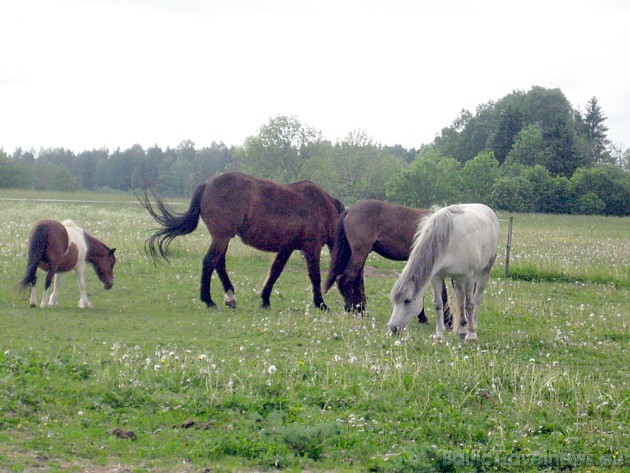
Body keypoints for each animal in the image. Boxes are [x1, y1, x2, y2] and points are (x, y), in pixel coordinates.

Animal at [136, 171, 348, 310]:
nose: (353, 309)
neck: (322, 205)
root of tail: (208, 184)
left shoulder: (286, 248)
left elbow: (275, 272)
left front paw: (265, 300)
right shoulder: (311, 248)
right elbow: (315, 276)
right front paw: (321, 304)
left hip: (223, 238)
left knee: (218, 263)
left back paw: (229, 298)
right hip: (221, 237)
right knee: (210, 262)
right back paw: (208, 300)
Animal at [324, 199, 452, 324]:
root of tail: (349, 210)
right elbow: (441, 292)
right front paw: (445, 320)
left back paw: (359, 309)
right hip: (360, 253)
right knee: (347, 278)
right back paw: (354, 310)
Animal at [388, 203, 502, 340]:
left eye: (407, 300)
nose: (393, 328)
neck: (448, 242)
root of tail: (488, 210)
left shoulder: (469, 277)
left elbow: (470, 305)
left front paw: (471, 335)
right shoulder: (436, 276)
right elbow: (438, 304)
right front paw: (439, 336)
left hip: (484, 271)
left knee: (476, 299)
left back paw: (472, 329)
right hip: (457, 278)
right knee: (460, 299)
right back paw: (462, 330)